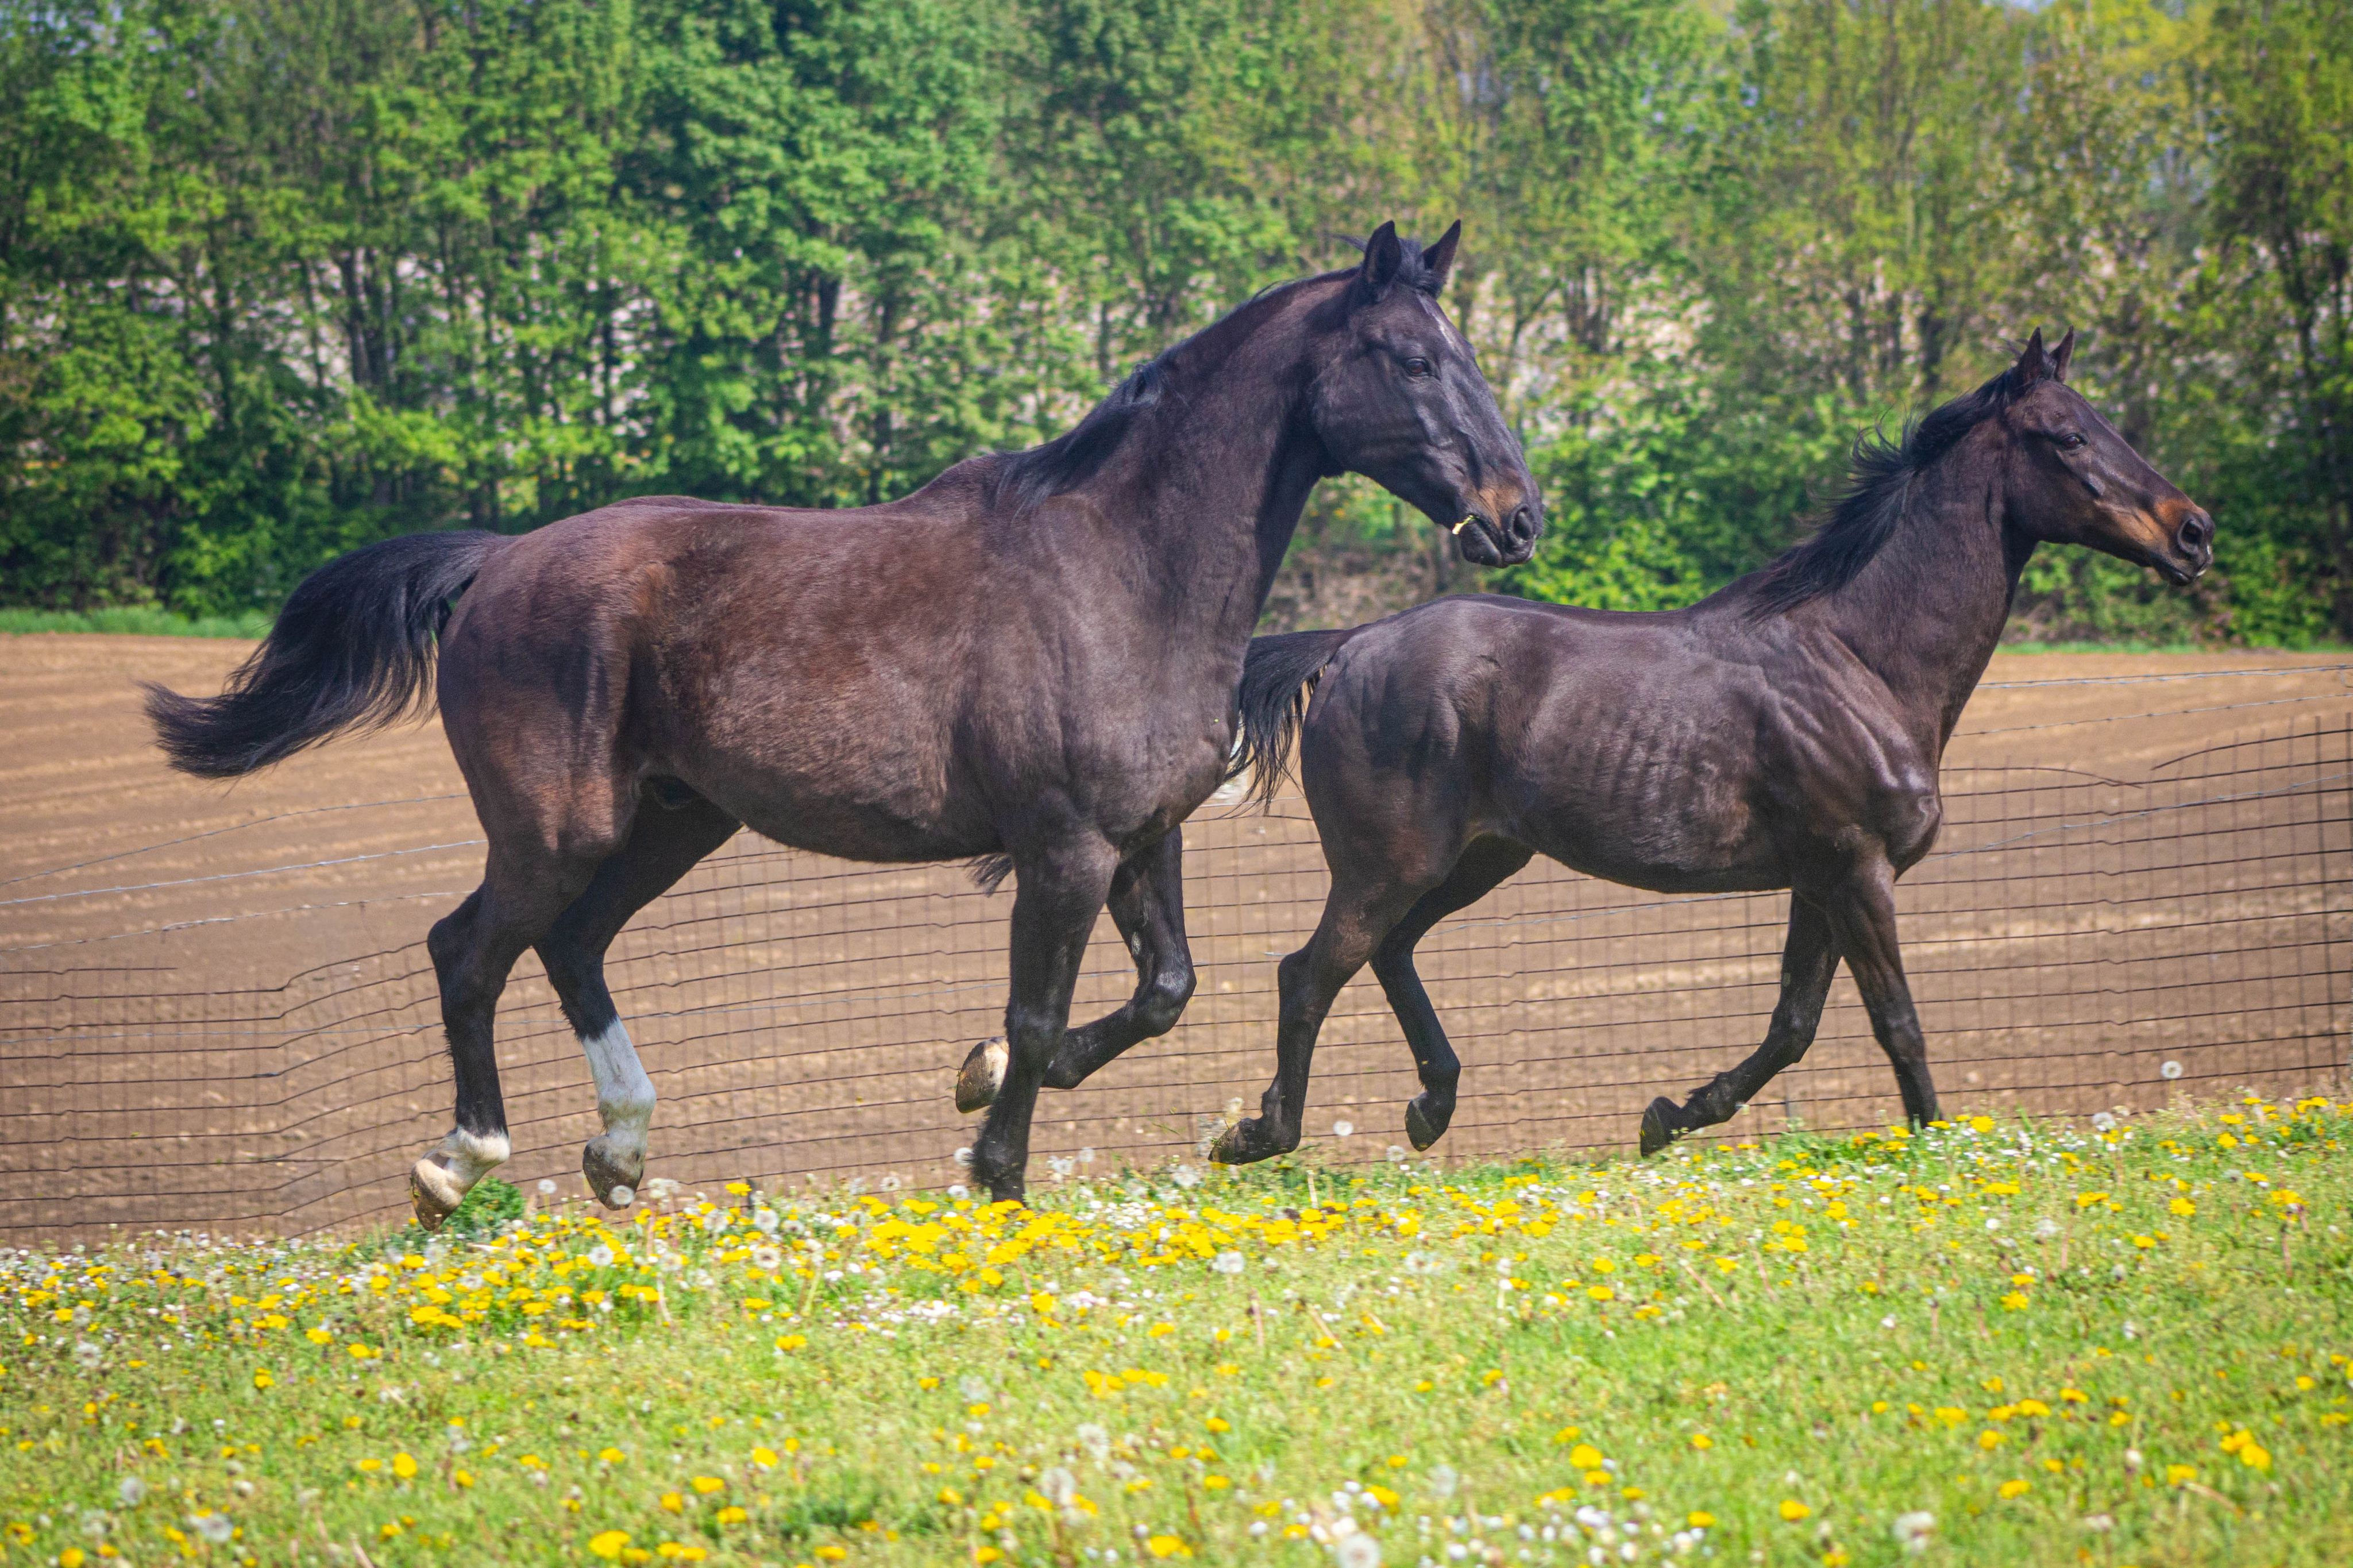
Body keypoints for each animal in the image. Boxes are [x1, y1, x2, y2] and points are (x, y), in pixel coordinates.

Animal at [145, 221, 1542, 1224]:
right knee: (469, 950)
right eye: (1414, 360)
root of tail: (496, 564)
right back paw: (459, 1161)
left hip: (674, 822)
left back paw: (619, 1151)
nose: (1518, 517)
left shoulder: (1144, 839)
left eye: (1466, 354)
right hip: (557, 828)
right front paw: (994, 1164)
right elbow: (1041, 1016)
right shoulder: (1063, 848)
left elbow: (1162, 996)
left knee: (570, 947)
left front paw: (982, 1081)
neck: (1120, 571)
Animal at [1212, 330, 2212, 1164]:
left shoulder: (1819, 877)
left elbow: (1794, 1024)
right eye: (2068, 437)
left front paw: (1668, 1114)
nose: (2194, 533)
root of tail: (1348, 646)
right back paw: (1258, 1135)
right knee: (1308, 972)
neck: (1860, 660)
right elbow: (1896, 1020)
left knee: (1389, 954)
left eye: (2106, 425)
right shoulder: (1859, 869)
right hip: (1388, 865)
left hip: (1476, 859)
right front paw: (1937, 1145)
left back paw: (1431, 1106)